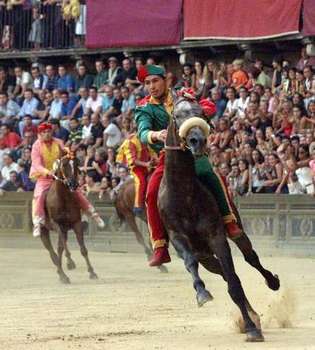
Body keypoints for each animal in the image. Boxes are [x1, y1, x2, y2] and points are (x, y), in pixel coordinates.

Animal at [40, 156, 98, 284]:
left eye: (76, 164)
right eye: (64, 165)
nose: (73, 184)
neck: (63, 199)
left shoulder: (76, 223)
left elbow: (83, 249)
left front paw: (92, 272)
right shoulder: (56, 224)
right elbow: (63, 246)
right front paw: (70, 263)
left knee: (59, 248)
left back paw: (61, 272)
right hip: (43, 229)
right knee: (52, 251)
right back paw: (63, 275)